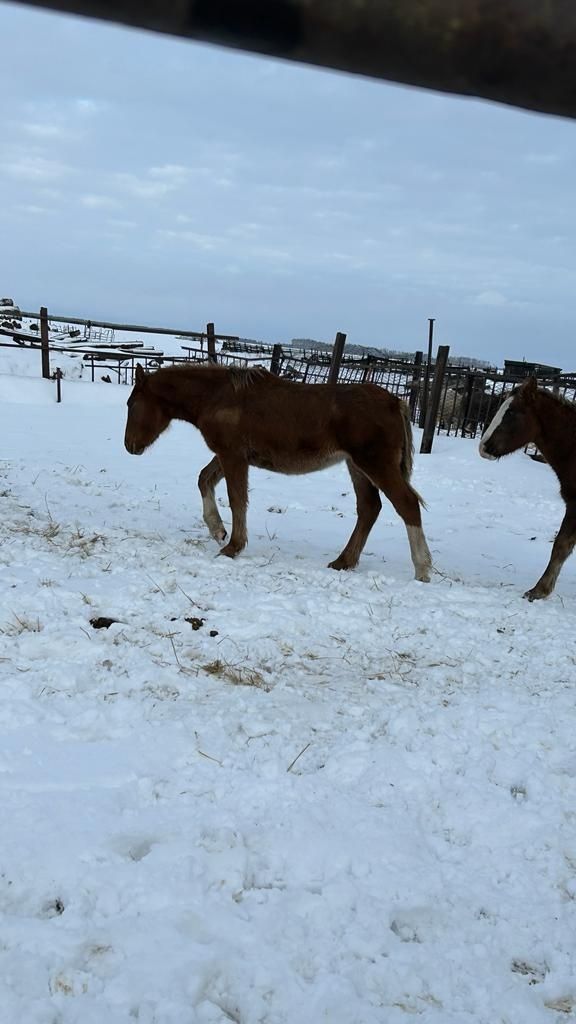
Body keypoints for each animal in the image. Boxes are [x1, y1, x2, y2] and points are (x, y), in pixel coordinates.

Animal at [125, 364, 430, 581]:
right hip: (356, 466)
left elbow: (237, 499)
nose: (129, 446)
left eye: (132, 405)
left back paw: (422, 569)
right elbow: (204, 479)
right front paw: (217, 529)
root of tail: (395, 402)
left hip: (375, 465)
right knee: (369, 507)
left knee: (406, 505)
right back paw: (343, 561)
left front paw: (232, 546)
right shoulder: (228, 456)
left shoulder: (233, 455)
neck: (217, 397)